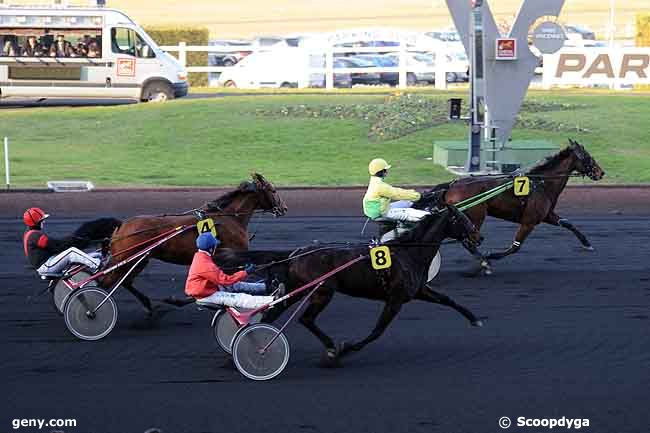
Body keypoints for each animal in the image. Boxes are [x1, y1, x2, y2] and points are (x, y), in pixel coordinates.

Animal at [102, 173, 286, 314]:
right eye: (273, 190)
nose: (284, 208)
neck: (229, 218)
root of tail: (121, 227)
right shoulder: (230, 259)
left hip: (141, 259)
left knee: (125, 281)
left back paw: (147, 305)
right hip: (128, 259)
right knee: (107, 282)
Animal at [215, 202, 484, 364]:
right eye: (462, 218)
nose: (478, 237)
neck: (408, 253)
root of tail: (296, 252)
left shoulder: (417, 291)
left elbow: (448, 299)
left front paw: (475, 319)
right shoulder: (395, 299)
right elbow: (377, 331)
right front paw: (347, 347)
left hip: (297, 290)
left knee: (273, 313)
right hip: (323, 291)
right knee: (306, 319)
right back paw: (331, 349)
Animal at [416, 138, 604, 274]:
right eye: (587, 156)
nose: (601, 172)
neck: (541, 183)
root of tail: (452, 185)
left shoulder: (546, 215)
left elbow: (567, 223)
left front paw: (587, 243)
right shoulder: (529, 221)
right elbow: (515, 247)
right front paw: (491, 256)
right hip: (474, 216)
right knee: (468, 241)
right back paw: (484, 261)